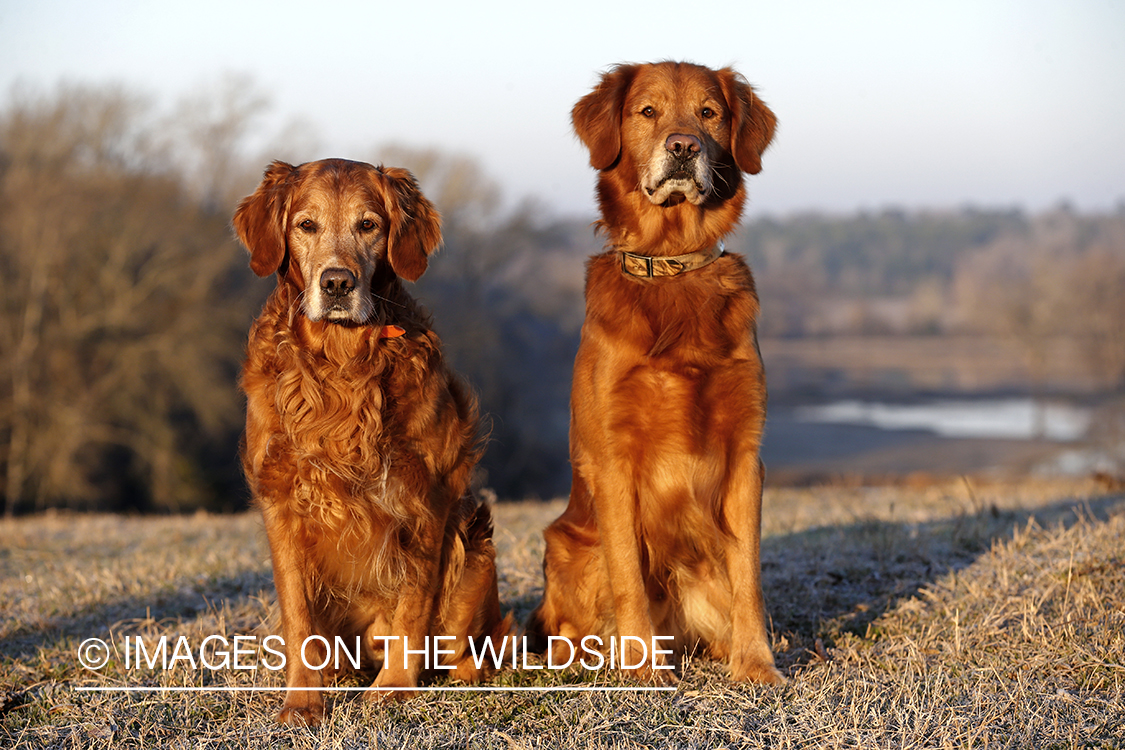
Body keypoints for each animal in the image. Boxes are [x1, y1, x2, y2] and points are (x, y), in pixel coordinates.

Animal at [237, 159, 510, 728]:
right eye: (306, 225)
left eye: (369, 225)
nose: (337, 282)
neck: (342, 361)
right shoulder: (280, 499)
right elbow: (298, 617)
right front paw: (302, 702)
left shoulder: (426, 494)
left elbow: (412, 603)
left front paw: (394, 690)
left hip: (475, 551)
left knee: (474, 647)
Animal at [528, 62, 783, 688]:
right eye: (648, 111)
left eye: (709, 113)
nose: (684, 146)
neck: (672, 268)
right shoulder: (612, 458)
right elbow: (627, 571)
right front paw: (643, 666)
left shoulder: (746, 456)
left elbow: (749, 575)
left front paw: (756, 663)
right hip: (568, 545)